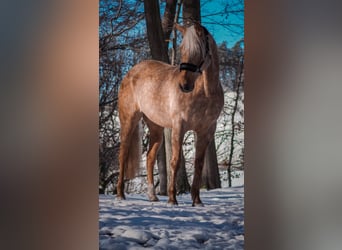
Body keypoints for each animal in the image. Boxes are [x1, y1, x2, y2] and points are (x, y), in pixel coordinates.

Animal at [117, 23, 224, 207]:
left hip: (156, 127)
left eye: (200, 50)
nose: (184, 85)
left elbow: (199, 164)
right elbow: (175, 162)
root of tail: (130, 73)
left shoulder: (206, 131)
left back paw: (152, 196)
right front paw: (172, 199)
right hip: (129, 121)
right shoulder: (179, 127)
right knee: (123, 154)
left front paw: (197, 201)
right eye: (182, 49)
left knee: (150, 157)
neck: (205, 92)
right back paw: (120, 195)